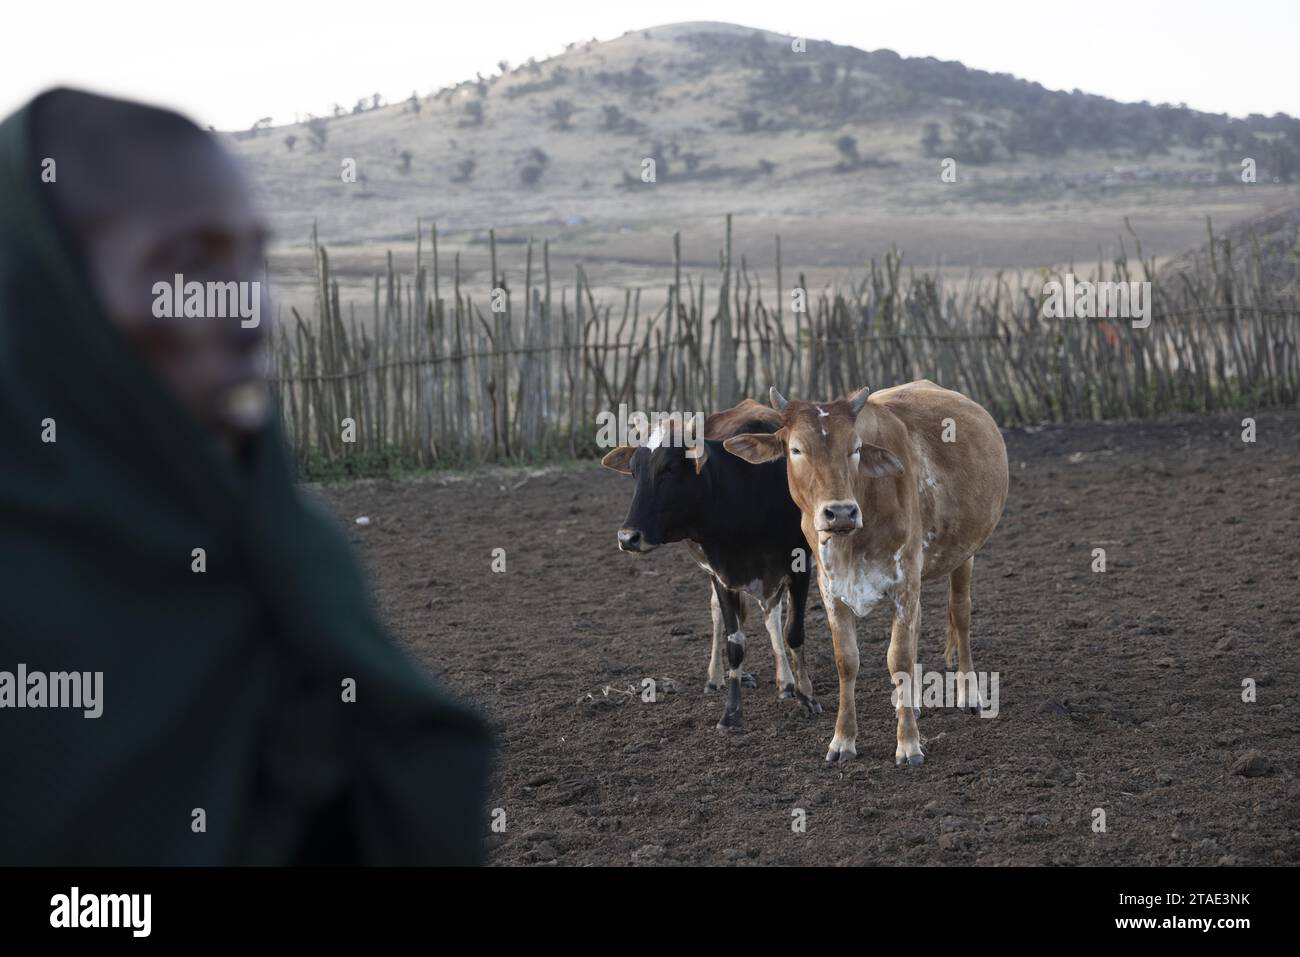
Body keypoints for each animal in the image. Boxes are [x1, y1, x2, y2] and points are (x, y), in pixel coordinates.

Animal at [600, 400, 821, 728]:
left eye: (670, 468)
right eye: (634, 472)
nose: (628, 537)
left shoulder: (800, 566)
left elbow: (793, 632)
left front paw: (806, 697)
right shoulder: (721, 575)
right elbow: (734, 642)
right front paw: (731, 712)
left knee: (772, 615)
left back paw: (786, 681)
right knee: (721, 614)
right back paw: (717, 678)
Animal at [728, 379, 1008, 764]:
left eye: (856, 448)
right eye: (796, 449)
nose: (841, 512)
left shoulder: (904, 582)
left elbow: (899, 657)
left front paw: (909, 743)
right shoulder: (831, 588)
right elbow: (847, 661)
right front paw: (843, 739)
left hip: (965, 553)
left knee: (960, 614)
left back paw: (969, 693)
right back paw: (912, 702)